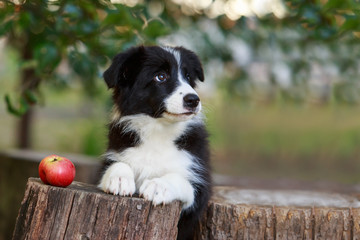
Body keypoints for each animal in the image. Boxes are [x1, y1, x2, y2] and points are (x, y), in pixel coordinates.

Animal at [98, 45, 211, 240]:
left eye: (188, 77)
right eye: (160, 76)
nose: (193, 100)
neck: (159, 130)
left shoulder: (199, 190)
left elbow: (178, 178)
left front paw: (159, 185)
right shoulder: (116, 151)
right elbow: (118, 164)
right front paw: (119, 179)